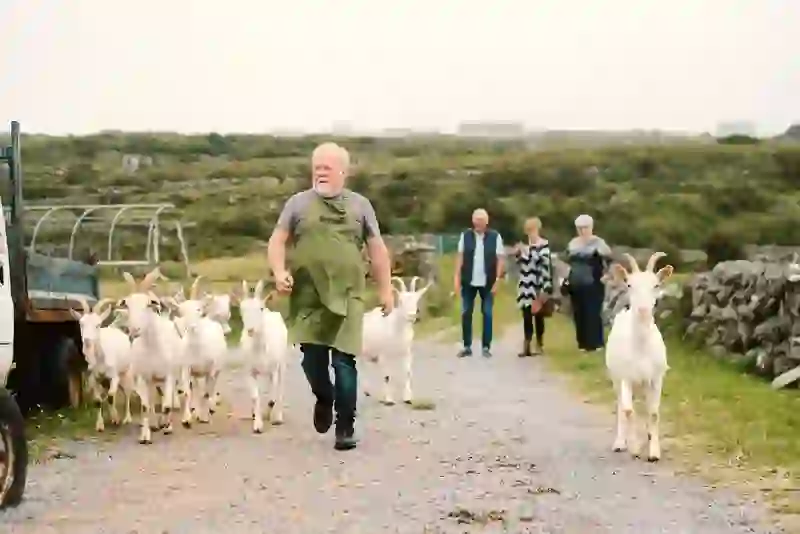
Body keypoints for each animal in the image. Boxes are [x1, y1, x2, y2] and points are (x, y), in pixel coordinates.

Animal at [69, 297, 135, 432]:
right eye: (81, 323)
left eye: (98, 325)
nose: (87, 341)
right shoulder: (93, 379)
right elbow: (98, 401)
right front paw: (100, 425)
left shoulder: (114, 376)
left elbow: (111, 396)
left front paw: (116, 418)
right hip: (104, 381)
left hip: (127, 372)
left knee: (127, 394)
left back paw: (126, 418)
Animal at [118, 267, 183, 444]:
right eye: (127, 305)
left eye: (149, 304)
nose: (134, 330)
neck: (152, 346)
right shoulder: (142, 377)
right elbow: (145, 406)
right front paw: (145, 436)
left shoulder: (168, 375)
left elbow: (167, 405)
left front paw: (166, 425)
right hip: (151, 380)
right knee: (152, 400)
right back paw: (154, 424)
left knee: (169, 398)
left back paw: (165, 424)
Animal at [236, 280, 288, 433]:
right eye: (242, 309)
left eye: (260, 308)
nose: (251, 330)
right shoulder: (250, 371)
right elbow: (255, 396)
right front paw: (257, 424)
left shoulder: (274, 368)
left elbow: (274, 393)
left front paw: (274, 417)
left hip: (282, 364)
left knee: (279, 388)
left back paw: (276, 414)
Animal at [362, 275, 431, 405]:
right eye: (401, 301)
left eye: (416, 301)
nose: (412, 316)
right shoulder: (384, 355)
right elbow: (387, 376)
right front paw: (389, 400)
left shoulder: (406, 353)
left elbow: (407, 373)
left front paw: (408, 398)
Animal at [605, 252, 673, 462]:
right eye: (629, 285)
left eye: (656, 285)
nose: (643, 310)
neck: (642, 349)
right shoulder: (626, 378)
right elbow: (628, 411)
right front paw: (634, 448)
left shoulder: (656, 378)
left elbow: (654, 413)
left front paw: (654, 452)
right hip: (616, 378)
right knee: (621, 406)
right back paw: (620, 443)